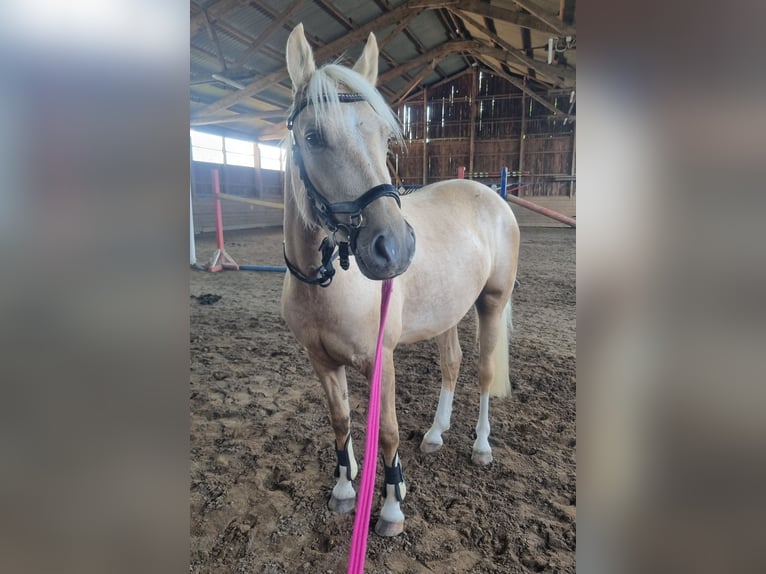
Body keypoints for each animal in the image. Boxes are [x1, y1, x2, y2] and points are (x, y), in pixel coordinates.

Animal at [280, 23, 520, 537]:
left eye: (386, 137)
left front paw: (391, 505)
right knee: (451, 364)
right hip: (448, 313)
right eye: (313, 136)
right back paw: (434, 434)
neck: (324, 283)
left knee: (484, 372)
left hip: (491, 303)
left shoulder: (380, 360)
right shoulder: (321, 362)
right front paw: (344, 488)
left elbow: (387, 431)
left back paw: (481, 447)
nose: (394, 246)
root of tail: (490, 196)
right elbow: (340, 420)